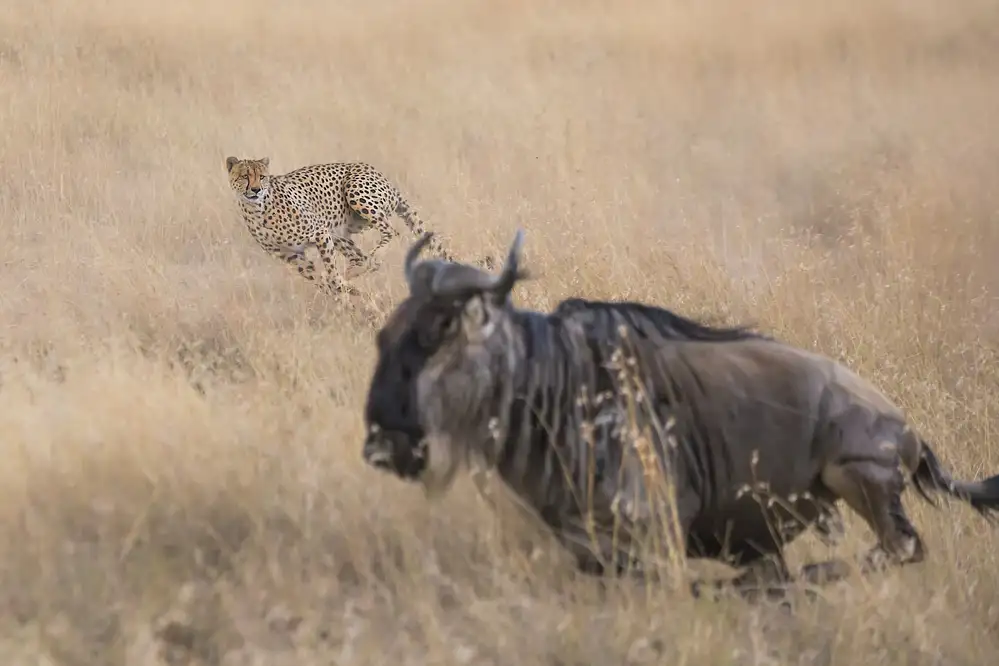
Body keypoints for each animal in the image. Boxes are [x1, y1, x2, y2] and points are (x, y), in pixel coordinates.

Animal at [225, 156, 486, 296]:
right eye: (245, 176)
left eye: (262, 177)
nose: (256, 189)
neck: (258, 210)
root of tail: (384, 178)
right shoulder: (292, 256)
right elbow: (322, 279)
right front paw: (345, 294)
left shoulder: (320, 234)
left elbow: (331, 274)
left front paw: (343, 295)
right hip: (340, 232)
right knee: (362, 259)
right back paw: (356, 272)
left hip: (355, 194)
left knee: (389, 232)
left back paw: (368, 261)